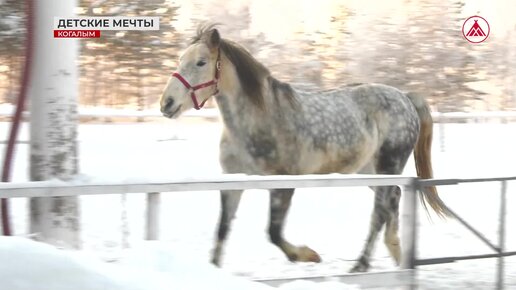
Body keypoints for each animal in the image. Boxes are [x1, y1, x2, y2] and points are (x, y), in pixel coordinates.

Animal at [159, 24, 450, 272]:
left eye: (201, 62)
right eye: (180, 60)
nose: (166, 103)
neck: (258, 119)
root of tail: (406, 98)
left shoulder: (283, 184)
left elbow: (274, 233)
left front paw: (309, 255)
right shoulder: (233, 182)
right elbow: (222, 231)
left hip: (388, 164)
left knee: (380, 210)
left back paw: (361, 265)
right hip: (369, 170)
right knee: (393, 199)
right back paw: (396, 252)